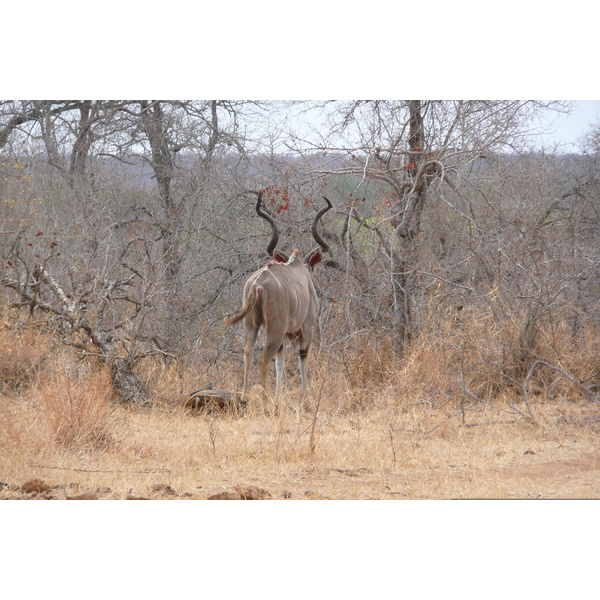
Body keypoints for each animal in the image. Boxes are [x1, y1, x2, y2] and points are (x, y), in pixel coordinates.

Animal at [224, 192, 330, 404]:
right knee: (263, 359)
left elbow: (280, 363)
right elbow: (302, 359)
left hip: (252, 325)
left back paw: (245, 399)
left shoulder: (284, 335)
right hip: (276, 328)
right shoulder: (306, 328)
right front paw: (305, 402)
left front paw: (278, 401)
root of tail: (257, 284)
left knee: (248, 353)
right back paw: (265, 405)